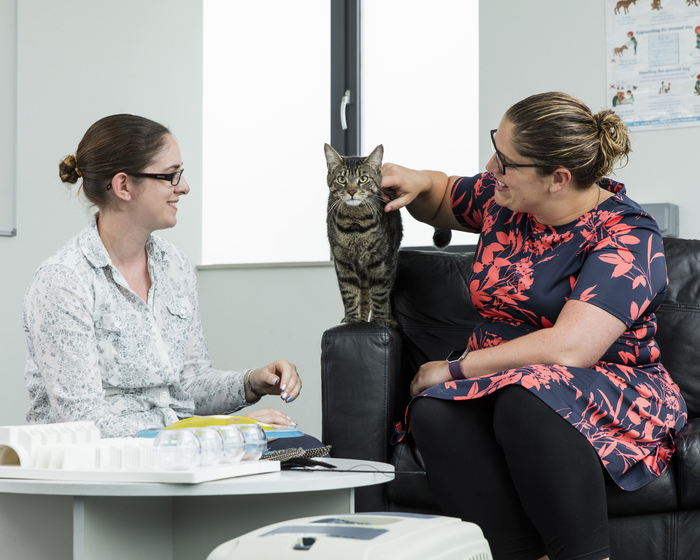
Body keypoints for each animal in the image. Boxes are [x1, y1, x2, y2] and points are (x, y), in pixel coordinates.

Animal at [324, 143, 402, 328]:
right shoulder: (342, 260)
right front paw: (352, 318)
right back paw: (361, 317)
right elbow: (349, 291)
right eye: (341, 179)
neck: (356, 224)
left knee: (385, 291)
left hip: (391, 261)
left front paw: (379, 320)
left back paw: (388, 319)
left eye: (364, 178)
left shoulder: (380, 261)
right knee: (365, 294)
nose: (352, 191)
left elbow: (380, 293)